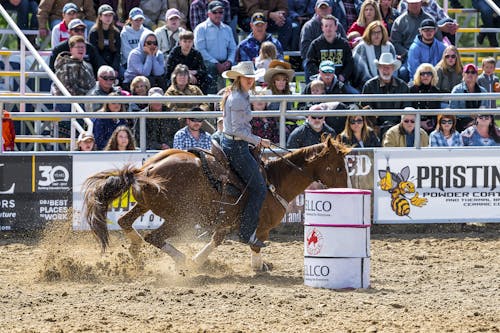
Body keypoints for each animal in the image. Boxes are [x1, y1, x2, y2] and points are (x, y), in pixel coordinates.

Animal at [82, 137, 350, 270]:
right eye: (338, 167)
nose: (346, 189)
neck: (274, 181)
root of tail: (145, 169)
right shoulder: (260, 227)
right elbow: (255, 245)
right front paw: (259, 266)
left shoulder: (226, 223)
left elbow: (216, 240)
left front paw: (201, 260)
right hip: (180, 217)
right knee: (154, 237)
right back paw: (181, 261)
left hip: (146, 205)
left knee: (125, 221)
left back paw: (136, 249)